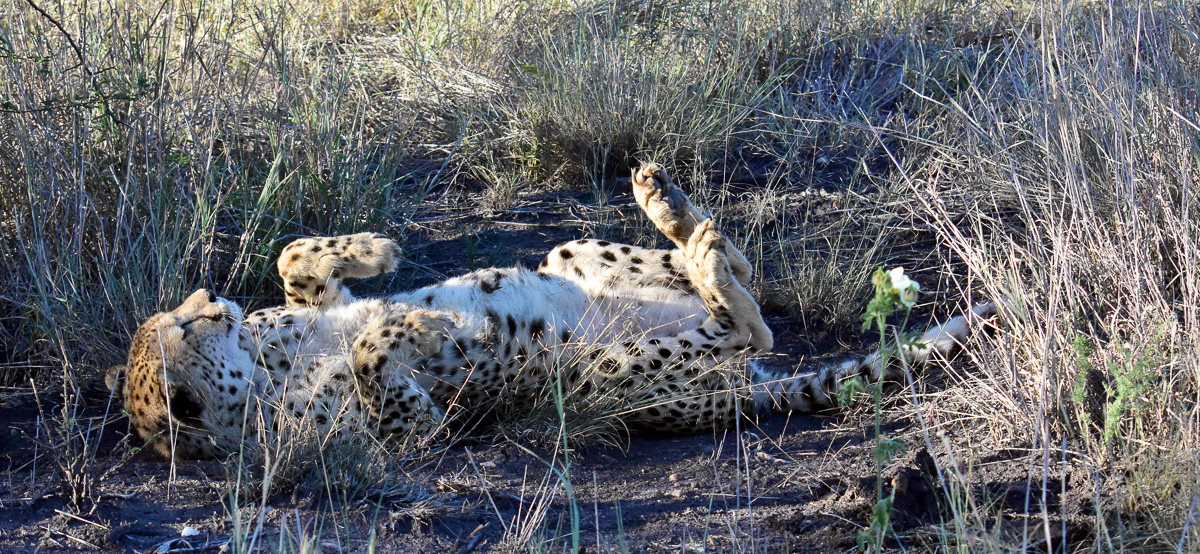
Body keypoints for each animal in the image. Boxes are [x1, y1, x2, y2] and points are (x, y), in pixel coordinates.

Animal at [106, 162, 996, 460]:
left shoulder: (307, 304)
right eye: (183, 326)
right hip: (600, 374)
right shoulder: (413, 434)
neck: (260, 368)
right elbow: (373, 366)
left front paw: (377, 252)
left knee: (740, 273)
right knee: (748, 323)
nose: (212, 301)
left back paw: (675, 210)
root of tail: (750, 394)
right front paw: (417, 325)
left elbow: (294, 256)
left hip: (572, 255)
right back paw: (697, 243)